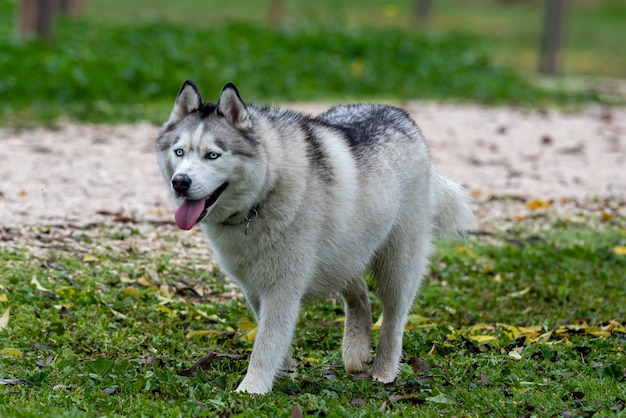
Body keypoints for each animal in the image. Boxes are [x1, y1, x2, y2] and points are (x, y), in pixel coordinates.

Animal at [156, 80, 472, 394]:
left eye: (212, 155)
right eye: (180, 152)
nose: (180, 182)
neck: (264, 193)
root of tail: (400, 114)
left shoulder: (282, 288)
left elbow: (266, 344)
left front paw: (252, 389)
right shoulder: (254, 288)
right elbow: (273, 340)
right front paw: (285, 374)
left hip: (397, 265)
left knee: (394, 319)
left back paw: (384, 371)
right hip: (342, 253)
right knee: (358, 292)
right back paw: (356, 350)